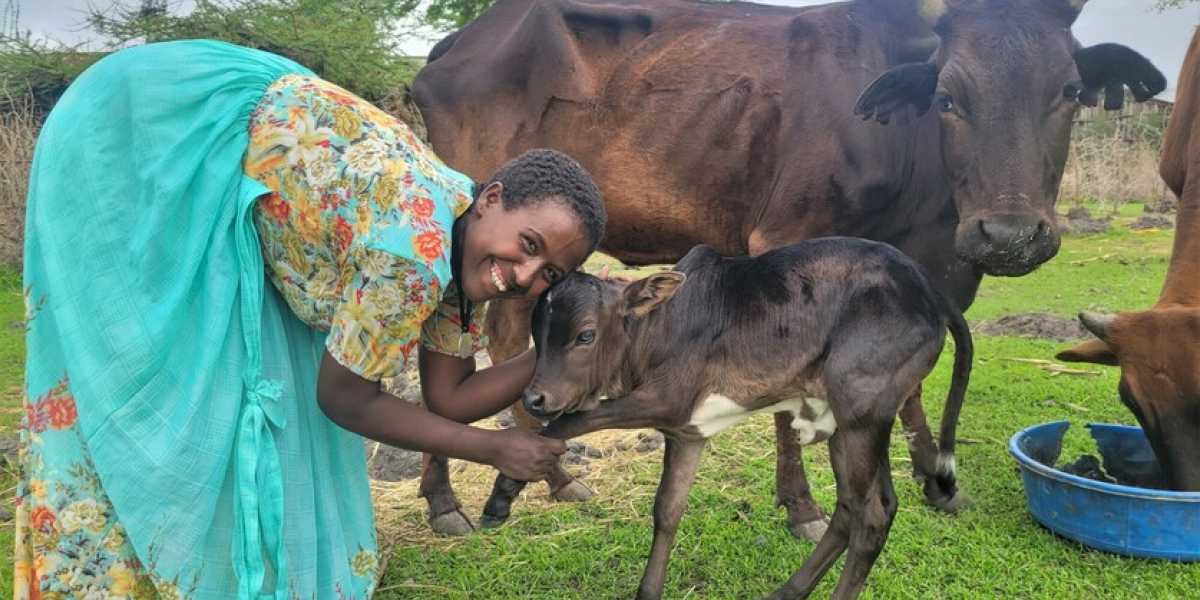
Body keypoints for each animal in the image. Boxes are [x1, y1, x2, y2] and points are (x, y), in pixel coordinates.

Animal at [412, 0, 1161, 537]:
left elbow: (915, 380)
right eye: (948, 97)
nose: (1008, 235)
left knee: (507, 337)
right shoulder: (787, 238)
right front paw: (802, 506)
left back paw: (549, 477)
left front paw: (936, 478)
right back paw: (450, 498)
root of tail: (457, 45)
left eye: (1070, 90)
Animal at [477, 238, 974, 600]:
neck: (658, 326)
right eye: (538, 333)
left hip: (863, 410)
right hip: (846, 420)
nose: (535, 397)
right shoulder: (687, 431)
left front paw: (502, 496)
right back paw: (787, 591)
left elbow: (563, 426)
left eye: (585, 335)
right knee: (855, 505)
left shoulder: (668, 400)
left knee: (872, 514)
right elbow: (667, 510)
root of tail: (930, 291)